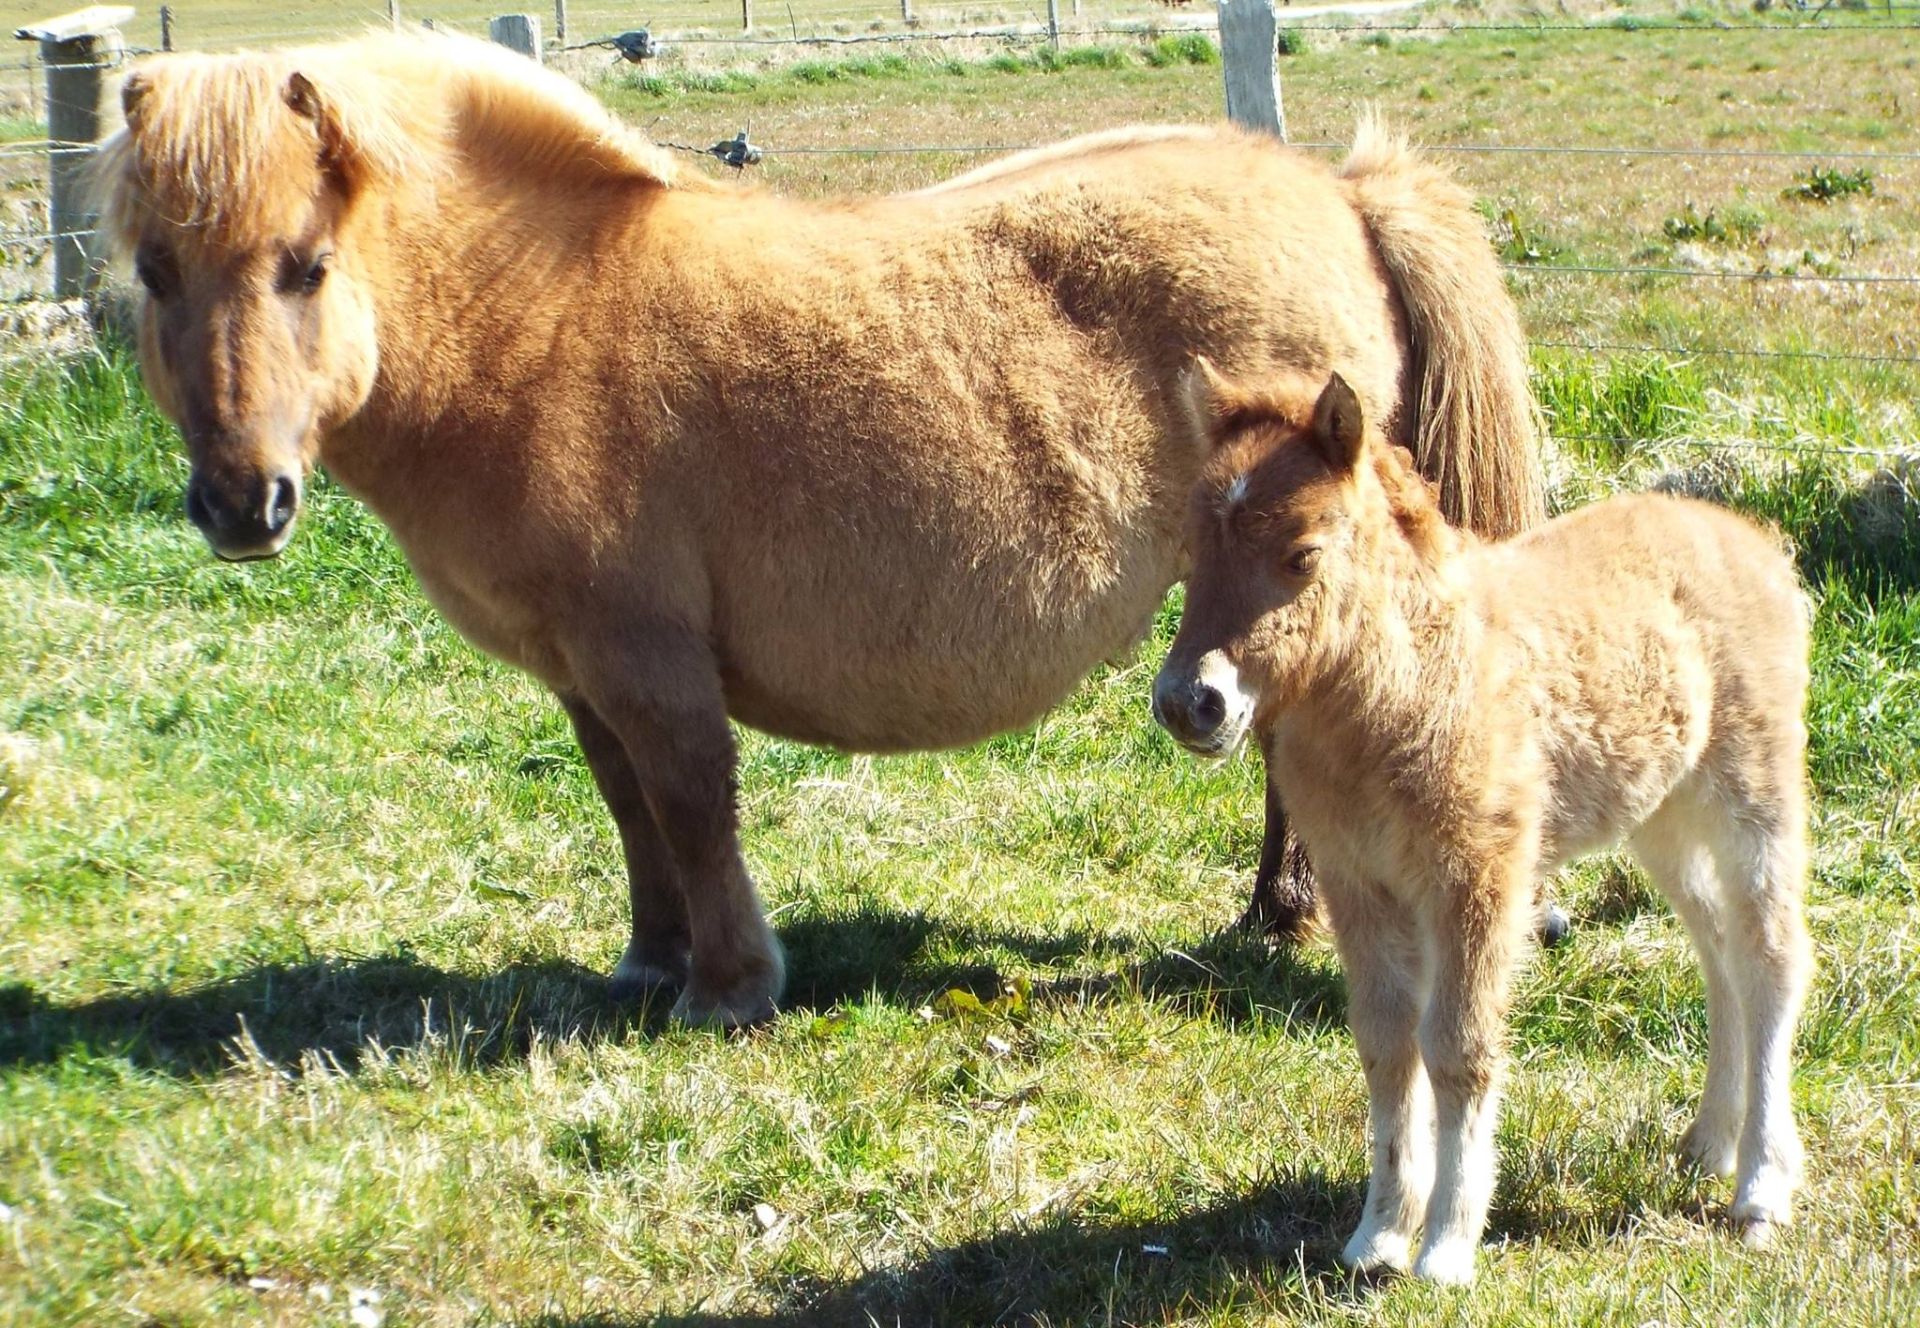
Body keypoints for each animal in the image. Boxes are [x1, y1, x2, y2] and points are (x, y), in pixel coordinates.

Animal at [97, 31, 1543, 1028]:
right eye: (155, 272)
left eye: (306, 266)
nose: (242, 503)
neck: (542, 321)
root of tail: (1342, 191)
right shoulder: (582, 670)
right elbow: (629, 806)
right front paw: (651, 960)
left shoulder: (649, 660)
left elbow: (691, 802)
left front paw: (729, 986)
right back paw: (1275, 912)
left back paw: (1287, 914)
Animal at [1152, 362, 1812, 1289]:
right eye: (1192, 552)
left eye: (1302, 554)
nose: (1190, 703)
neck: (1408, 685)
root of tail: (1758, 544)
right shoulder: (1361, 883)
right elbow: (1386, 1043)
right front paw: (1379, 1236)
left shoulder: (1477, 875)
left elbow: (1457, 1048)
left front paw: (1447, 1248)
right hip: (1662, 817)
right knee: (1719, 955)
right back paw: (1708, 1146)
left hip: (1753, 796)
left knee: (1772, 959)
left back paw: (1759, 1189)